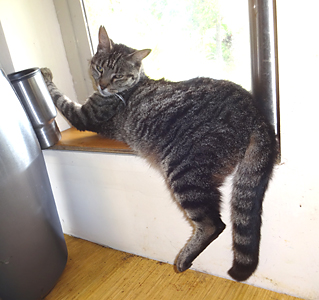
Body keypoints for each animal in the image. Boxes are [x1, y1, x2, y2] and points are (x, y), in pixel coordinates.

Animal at [42, 25, 278, 282]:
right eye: (100, 68)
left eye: (117, 76)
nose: (102, 85)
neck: (133, 86)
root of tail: (255, 114)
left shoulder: (84, 116)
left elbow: (60, 99)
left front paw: (45, 75)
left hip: (185, 173)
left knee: (214, 224)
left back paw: (183, 258)